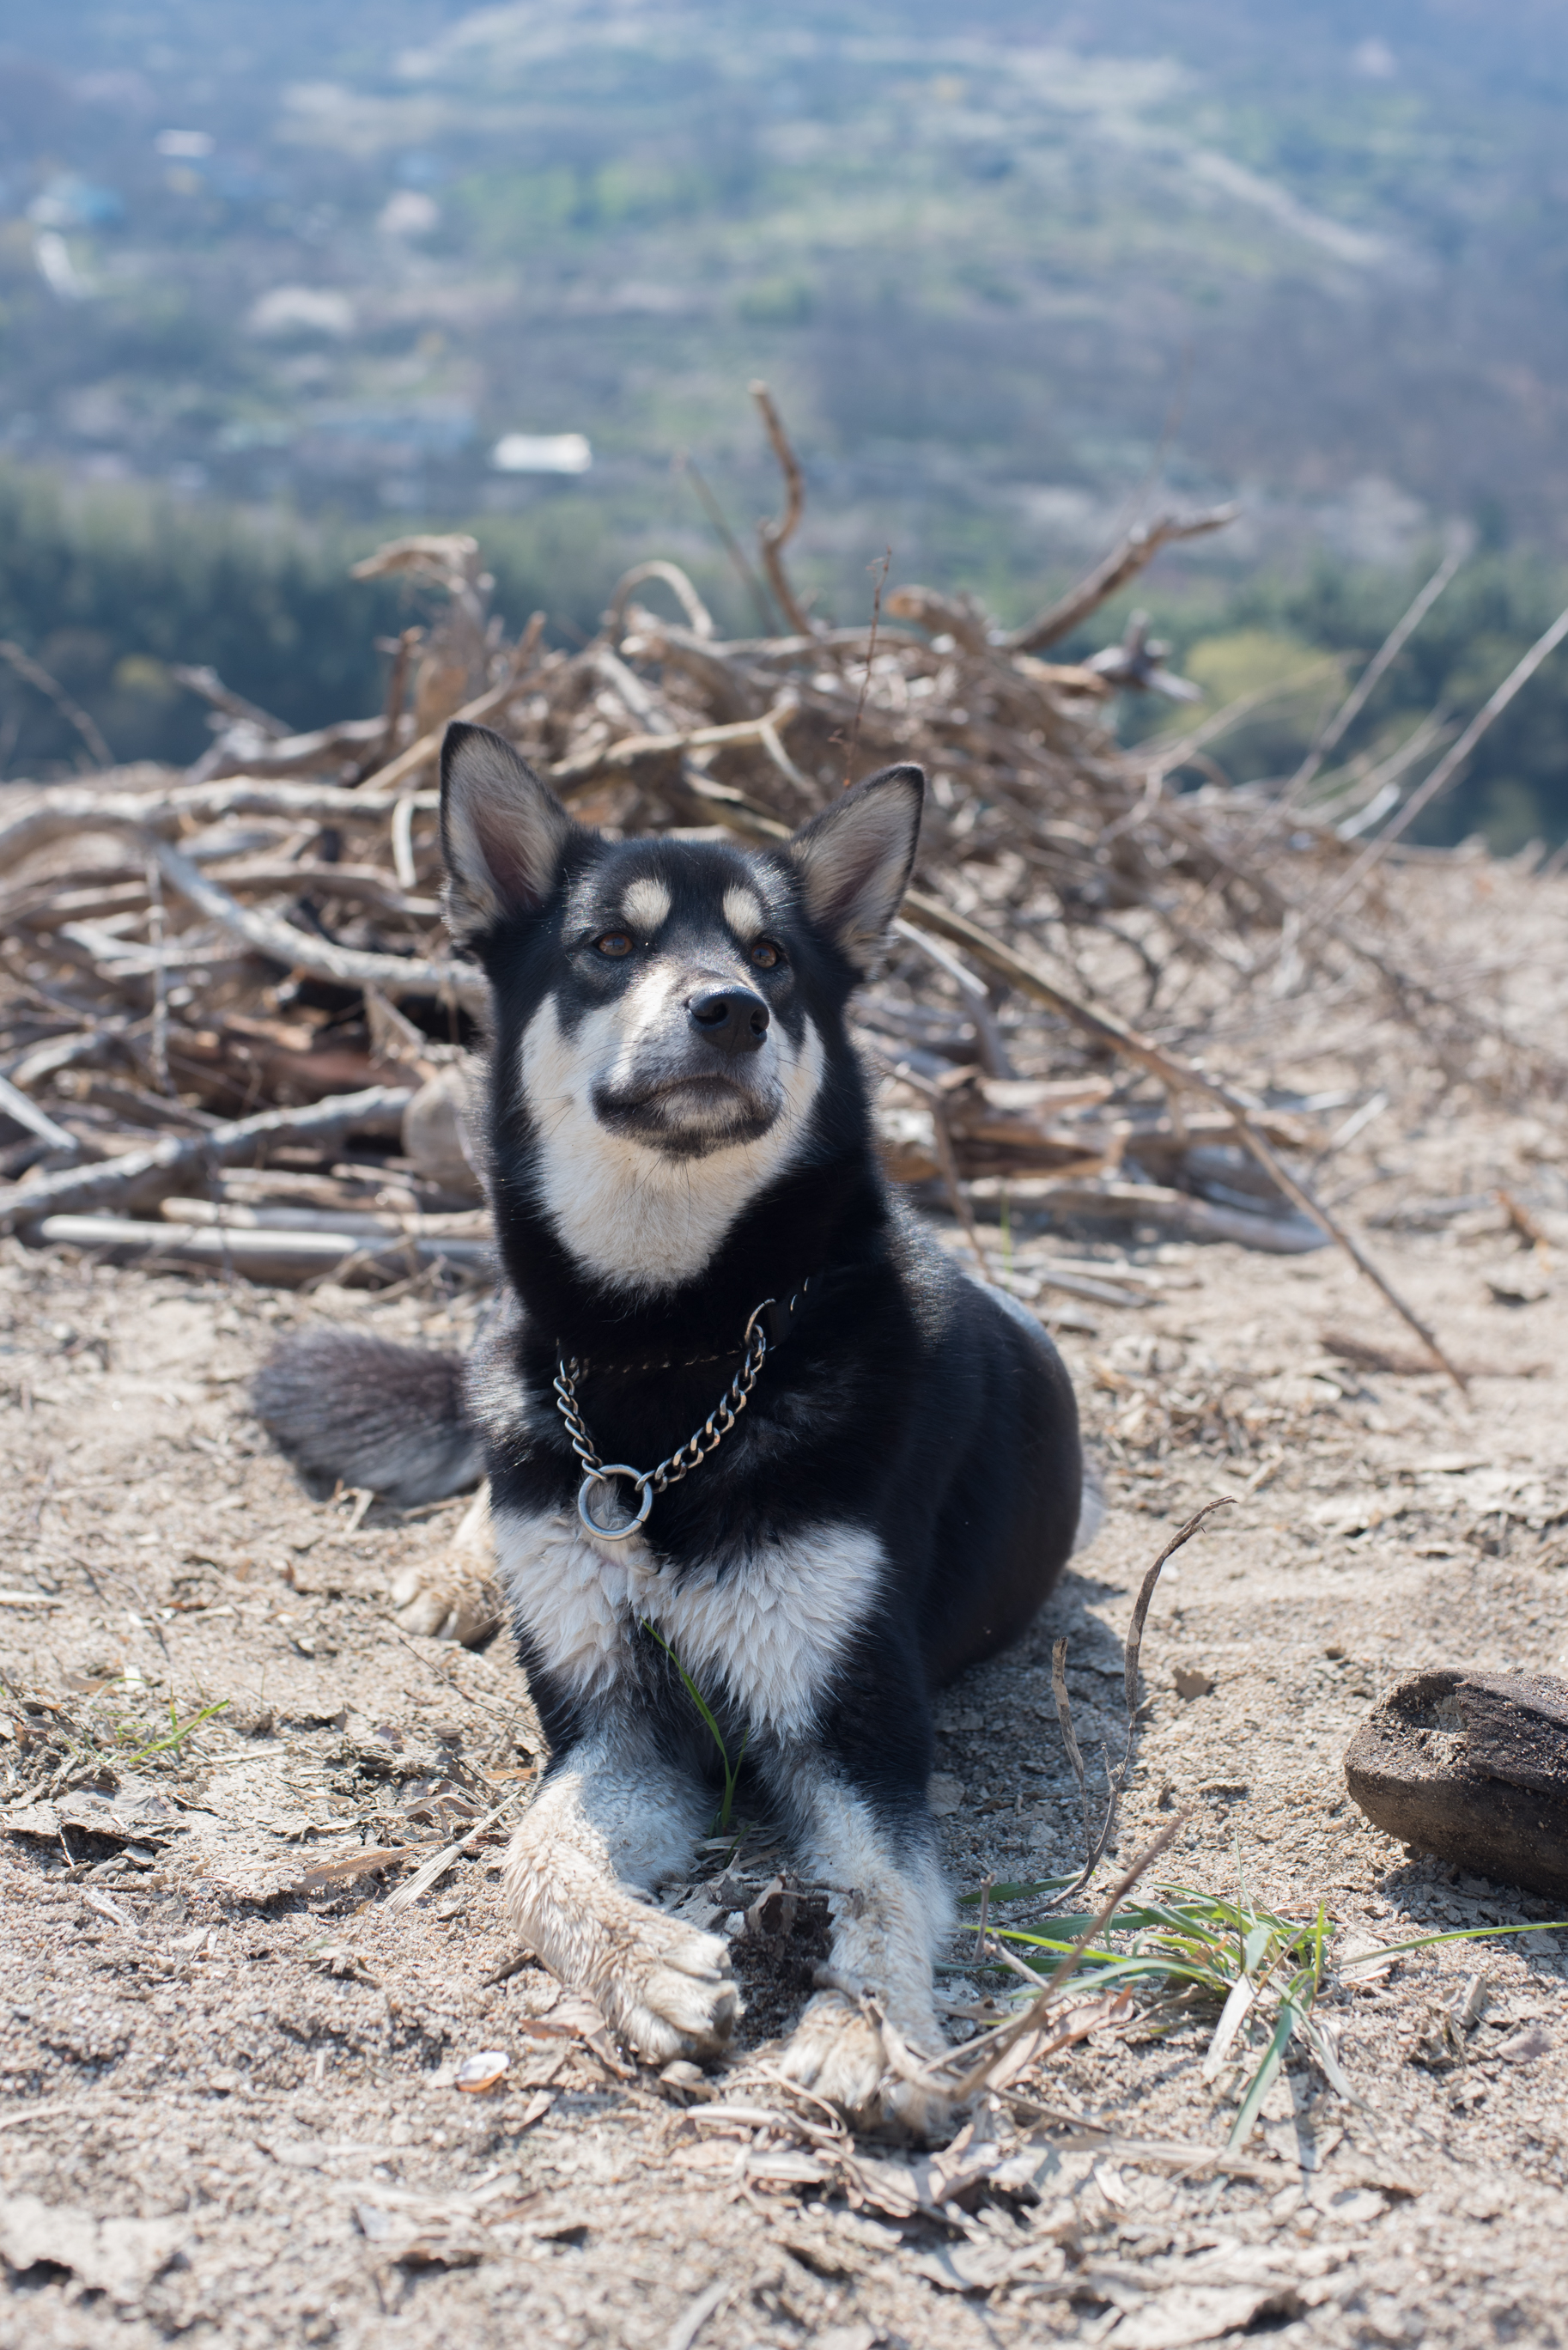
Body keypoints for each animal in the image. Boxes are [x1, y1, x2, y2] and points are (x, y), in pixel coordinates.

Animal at [257, 728, 1091, 2134]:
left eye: (773, 960)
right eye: (608, 943)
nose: (730, 1011)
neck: (670, 1348)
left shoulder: (851, 1723)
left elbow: (876, 1888)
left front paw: (868, 2032)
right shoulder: (614, 1716)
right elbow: (535, 1852)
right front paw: (643, 1962)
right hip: (506, 1373)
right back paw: (459, 1568)